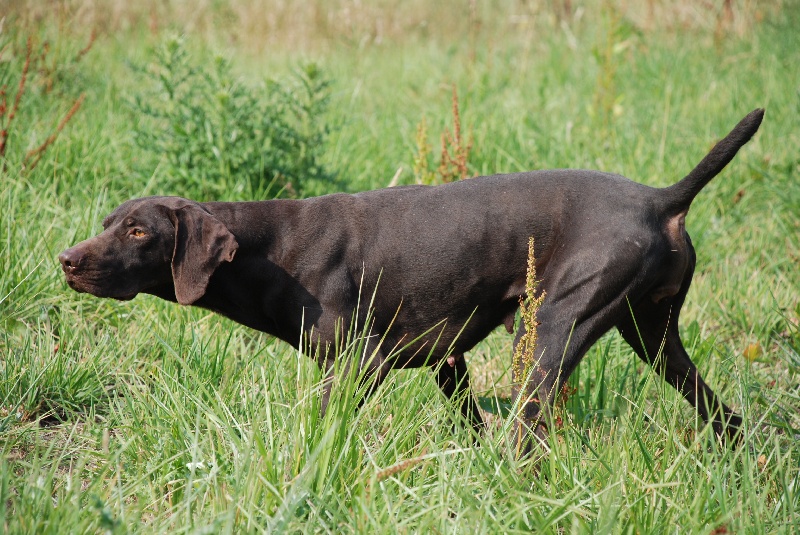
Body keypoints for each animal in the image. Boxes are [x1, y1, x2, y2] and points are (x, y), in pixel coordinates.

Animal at [57, 107, 764, 450]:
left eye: (139, 232)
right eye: (108, 222)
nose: (65, 259)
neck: (271, 249)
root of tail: (661, 198)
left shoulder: (359, 364)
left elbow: (319, 429)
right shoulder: (448, 361)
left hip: (549, 332)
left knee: (527, 437)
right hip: (654, 337)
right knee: (723, 416)